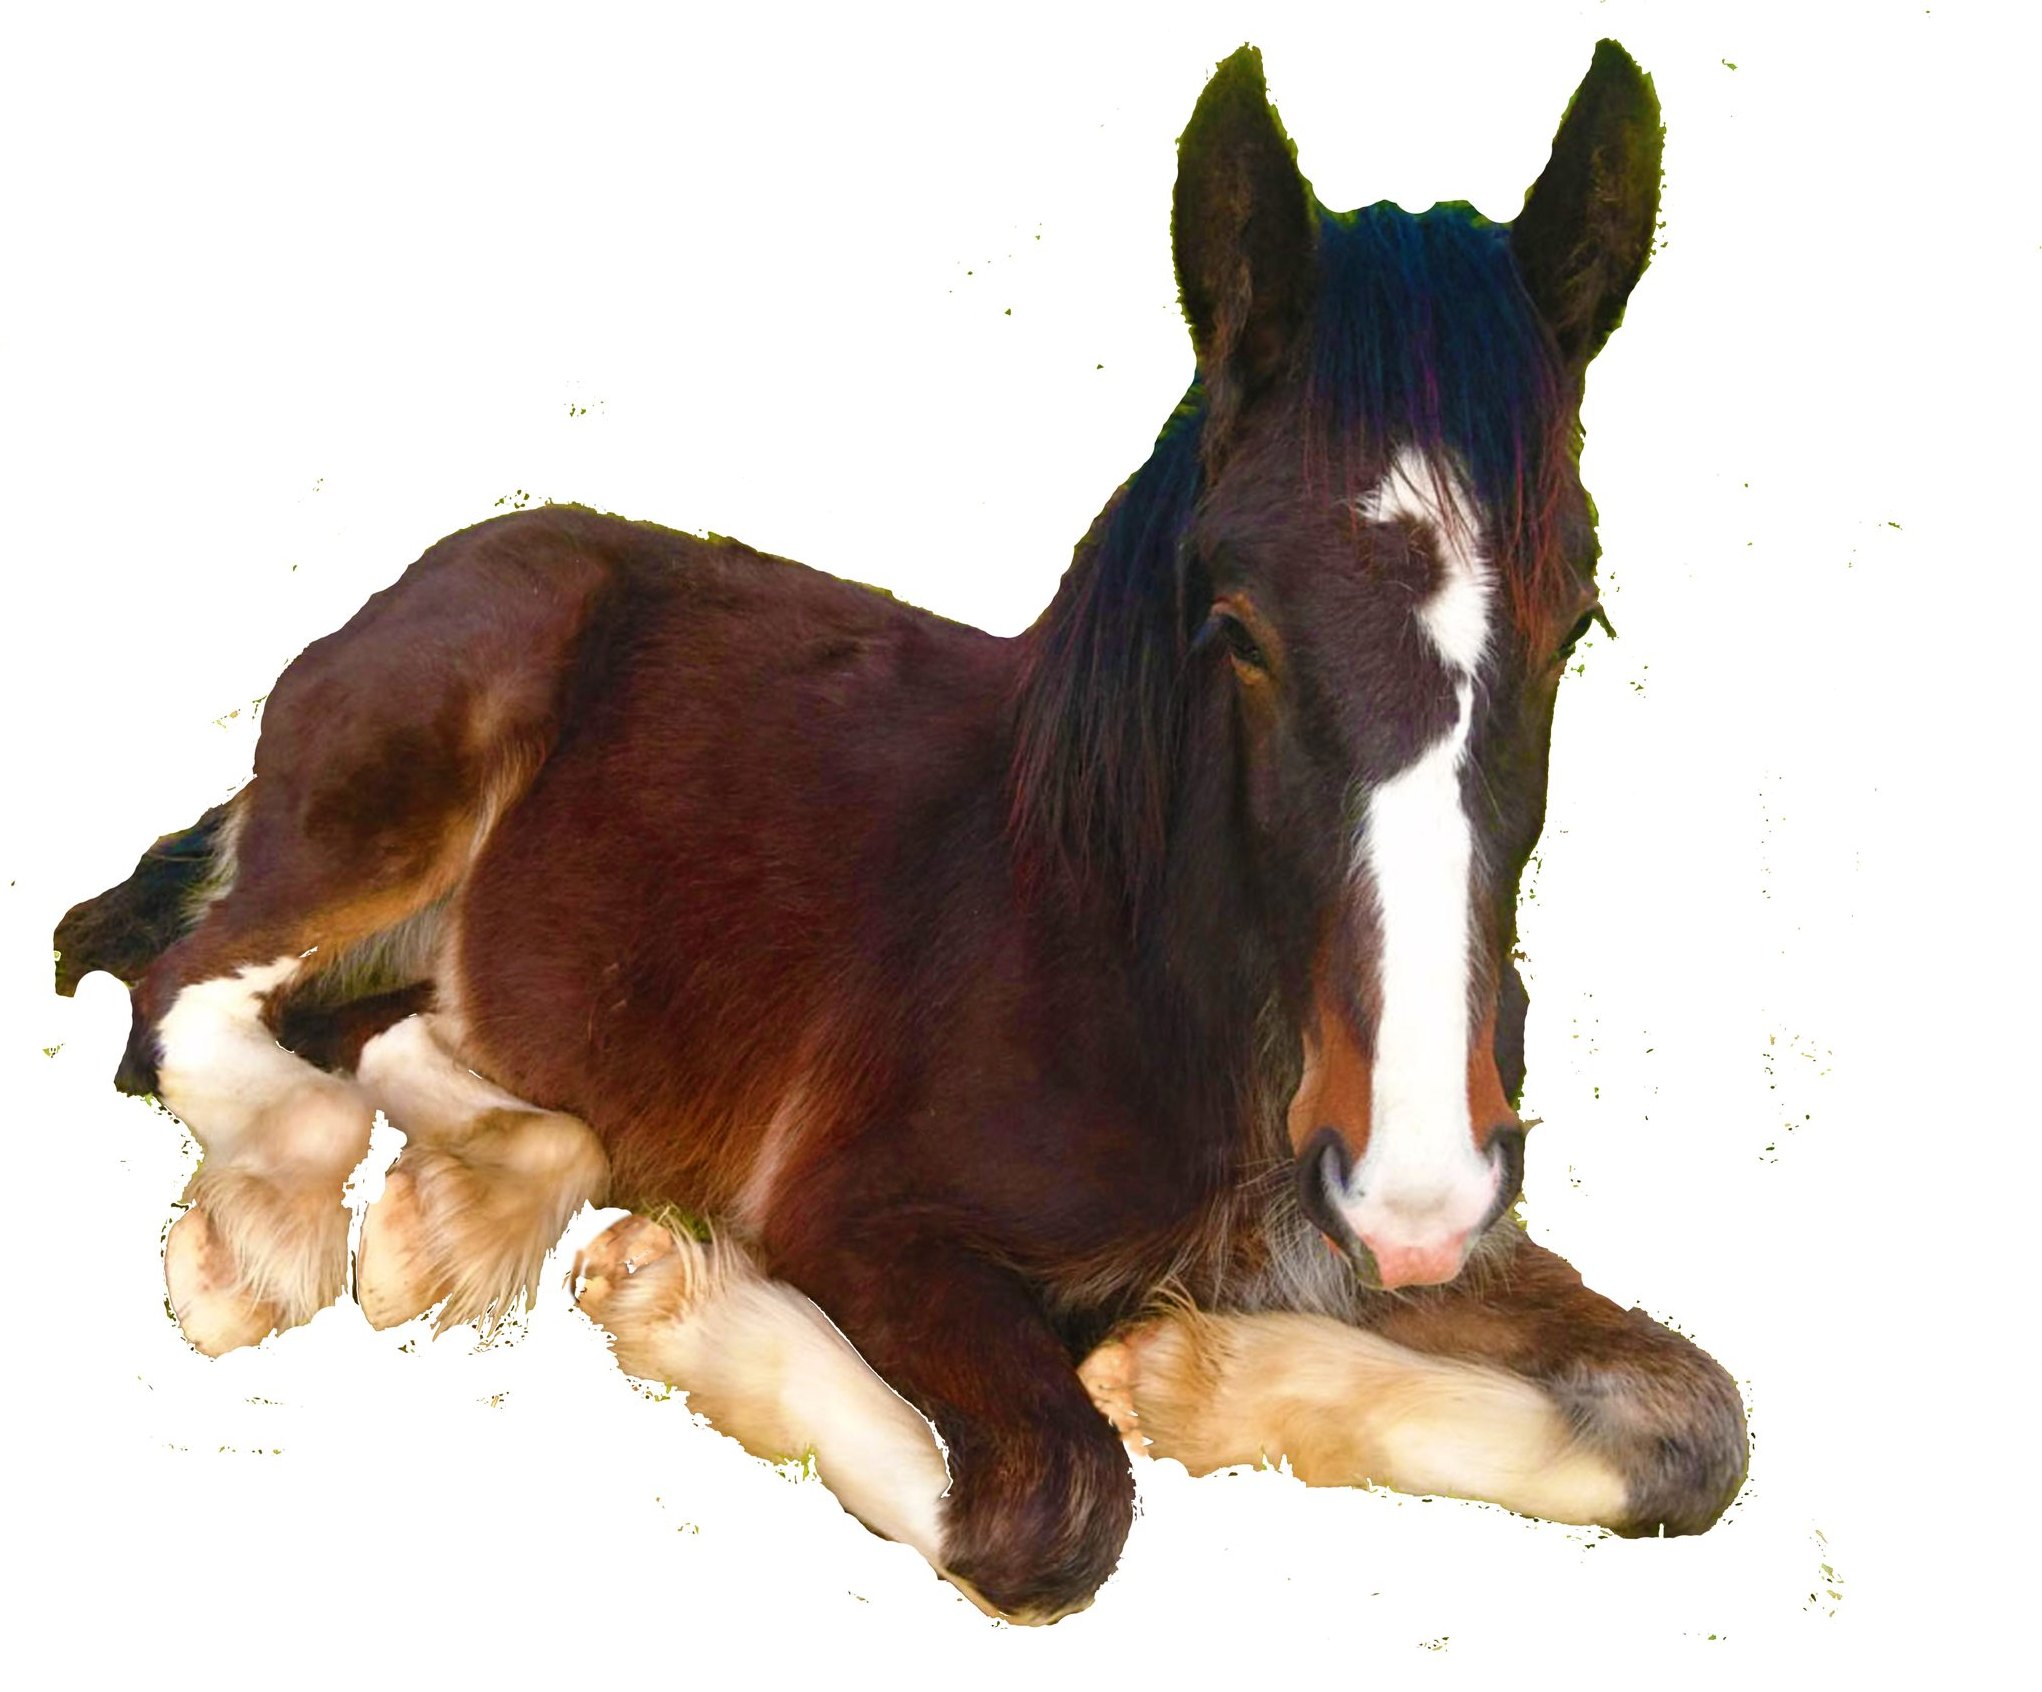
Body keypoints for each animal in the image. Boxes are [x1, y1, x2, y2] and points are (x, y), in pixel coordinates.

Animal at [53, 40, 1745, 1622]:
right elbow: (1053, 1505)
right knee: (189, 995)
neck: (1126, 956)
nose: (1414, 1188)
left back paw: (447, 1214)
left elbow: (1693, 1421)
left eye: (1578, 623)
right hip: (397, 801)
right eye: (1238, 627)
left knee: (399, 1044)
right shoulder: (869, 1222)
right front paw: (683, 1300)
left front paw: (1201, 1377)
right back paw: (264, 1249)